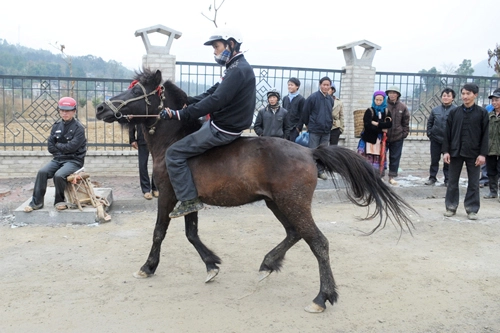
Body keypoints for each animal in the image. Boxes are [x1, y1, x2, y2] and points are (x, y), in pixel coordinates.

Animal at [94, 67, 414, 312]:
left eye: (137, 92)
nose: (100, 108)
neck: (174, 139)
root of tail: (310, 152)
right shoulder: (189, 200)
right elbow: (191, 234)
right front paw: (212, 265)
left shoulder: (170, 196)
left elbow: (159, 232)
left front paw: (147, 267)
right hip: (277, 203)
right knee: (294, 233)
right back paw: (268, 264)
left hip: (293, 204)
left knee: (318, 242)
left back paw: (322, 297)